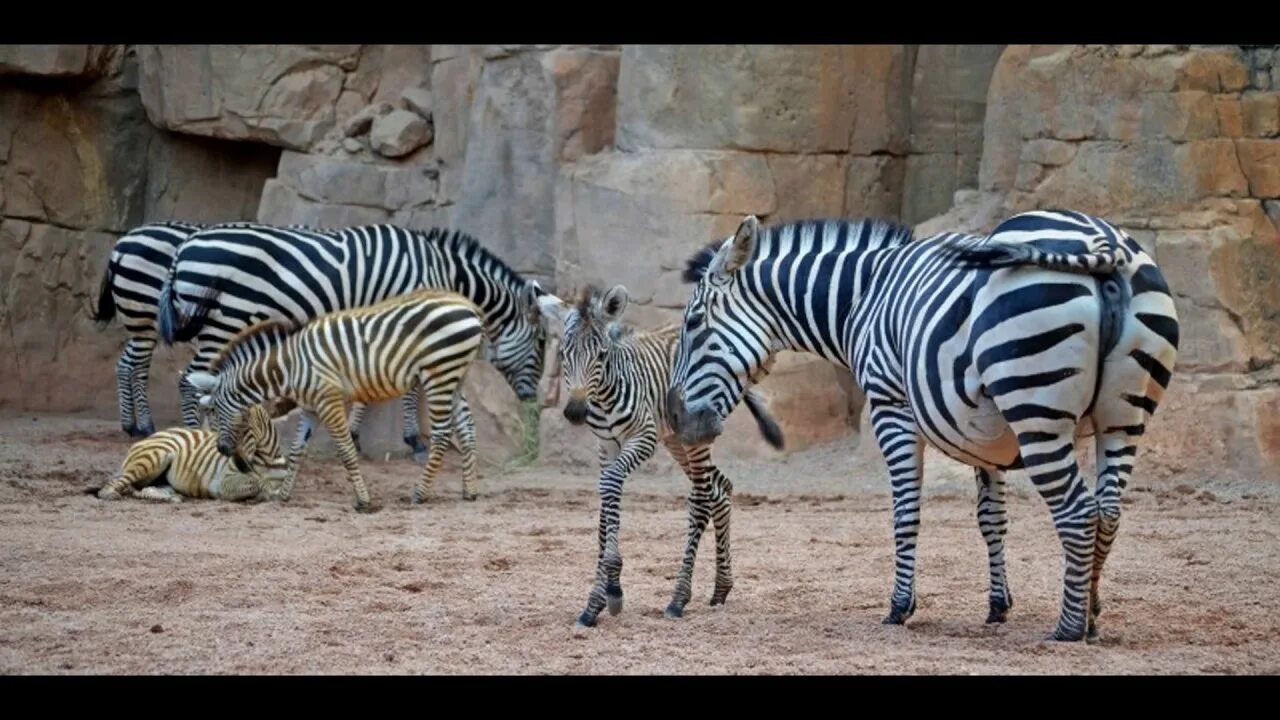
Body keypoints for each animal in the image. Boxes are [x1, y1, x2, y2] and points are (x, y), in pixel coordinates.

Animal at [93, 399, 291, 502]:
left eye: (242, 429)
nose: (240, 465)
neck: (266, 460)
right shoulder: (223, 483)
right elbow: (258, 483)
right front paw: (265, 492)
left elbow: (269, 486)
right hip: (153, 458)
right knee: (113, 487)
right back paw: (112, 494)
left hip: (156, 477)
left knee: (140, 488)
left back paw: (170, 497)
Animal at [151, 221, 550, 461]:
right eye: (541, 342)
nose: (532, 399)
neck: (439, 271)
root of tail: (185, 246)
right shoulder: (409, 320)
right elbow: (407, 388)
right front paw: (414, 440)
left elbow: (369, 376)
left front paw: (356, 435)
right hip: (227, 318)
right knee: (189, 382)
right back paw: (194, 440)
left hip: (215, 323)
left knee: (201, 381)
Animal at [185, 285, 488, 509]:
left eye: (213, 411)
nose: (223, 451)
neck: (289, 366)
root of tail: (468, 306)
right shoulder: (310, 406)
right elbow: (296, 451)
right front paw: (283, 496)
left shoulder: (328, 400)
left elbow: (345, 450)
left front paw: (363, 501)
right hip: (455, 376)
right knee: (468, 427)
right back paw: (469, 490)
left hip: (439, 374)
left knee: (442, 434)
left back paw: (420, 493)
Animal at [537, 283, 783, 625]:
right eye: (562, 354)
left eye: (601, 355)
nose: (574, 412)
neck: (604, 395)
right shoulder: (606, 447)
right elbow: (605, 502)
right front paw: (597, 600)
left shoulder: (644, 438)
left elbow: (611, 484)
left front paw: (613, 588)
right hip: (676, 437)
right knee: (721, 488)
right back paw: (721, 588)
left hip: (693, 434)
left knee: (702, 497)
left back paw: (678, 599)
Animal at [670, 207, 1177, 638]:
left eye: (693, 324)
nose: (675, 418)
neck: (864, 297)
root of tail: (1103, 241)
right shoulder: (984, 435)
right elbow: (991, 518)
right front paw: (998, 605)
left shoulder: (891, 406)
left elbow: (905, 512)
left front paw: (899, 607)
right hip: (1123, 420)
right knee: (1107, 512)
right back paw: (1091, 616)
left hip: (1037, 411)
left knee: (1077, 513)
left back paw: (1068, 629)